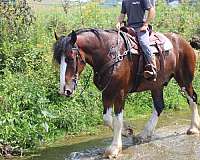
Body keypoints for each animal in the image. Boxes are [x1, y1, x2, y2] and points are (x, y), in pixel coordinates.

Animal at [52, 28, 199, 158]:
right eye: (59, 60)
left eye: (70, 58)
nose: (64, 90)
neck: (111, 55)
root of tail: (183, 41)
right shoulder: (106, 93)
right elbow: (107, 119)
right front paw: (127, 131)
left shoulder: (120, 93)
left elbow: (117, 120)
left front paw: (114, 149)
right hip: (156, 85)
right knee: (159, 106)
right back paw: (144, 135)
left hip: (184, 80)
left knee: (192, 99)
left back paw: (193, 128)